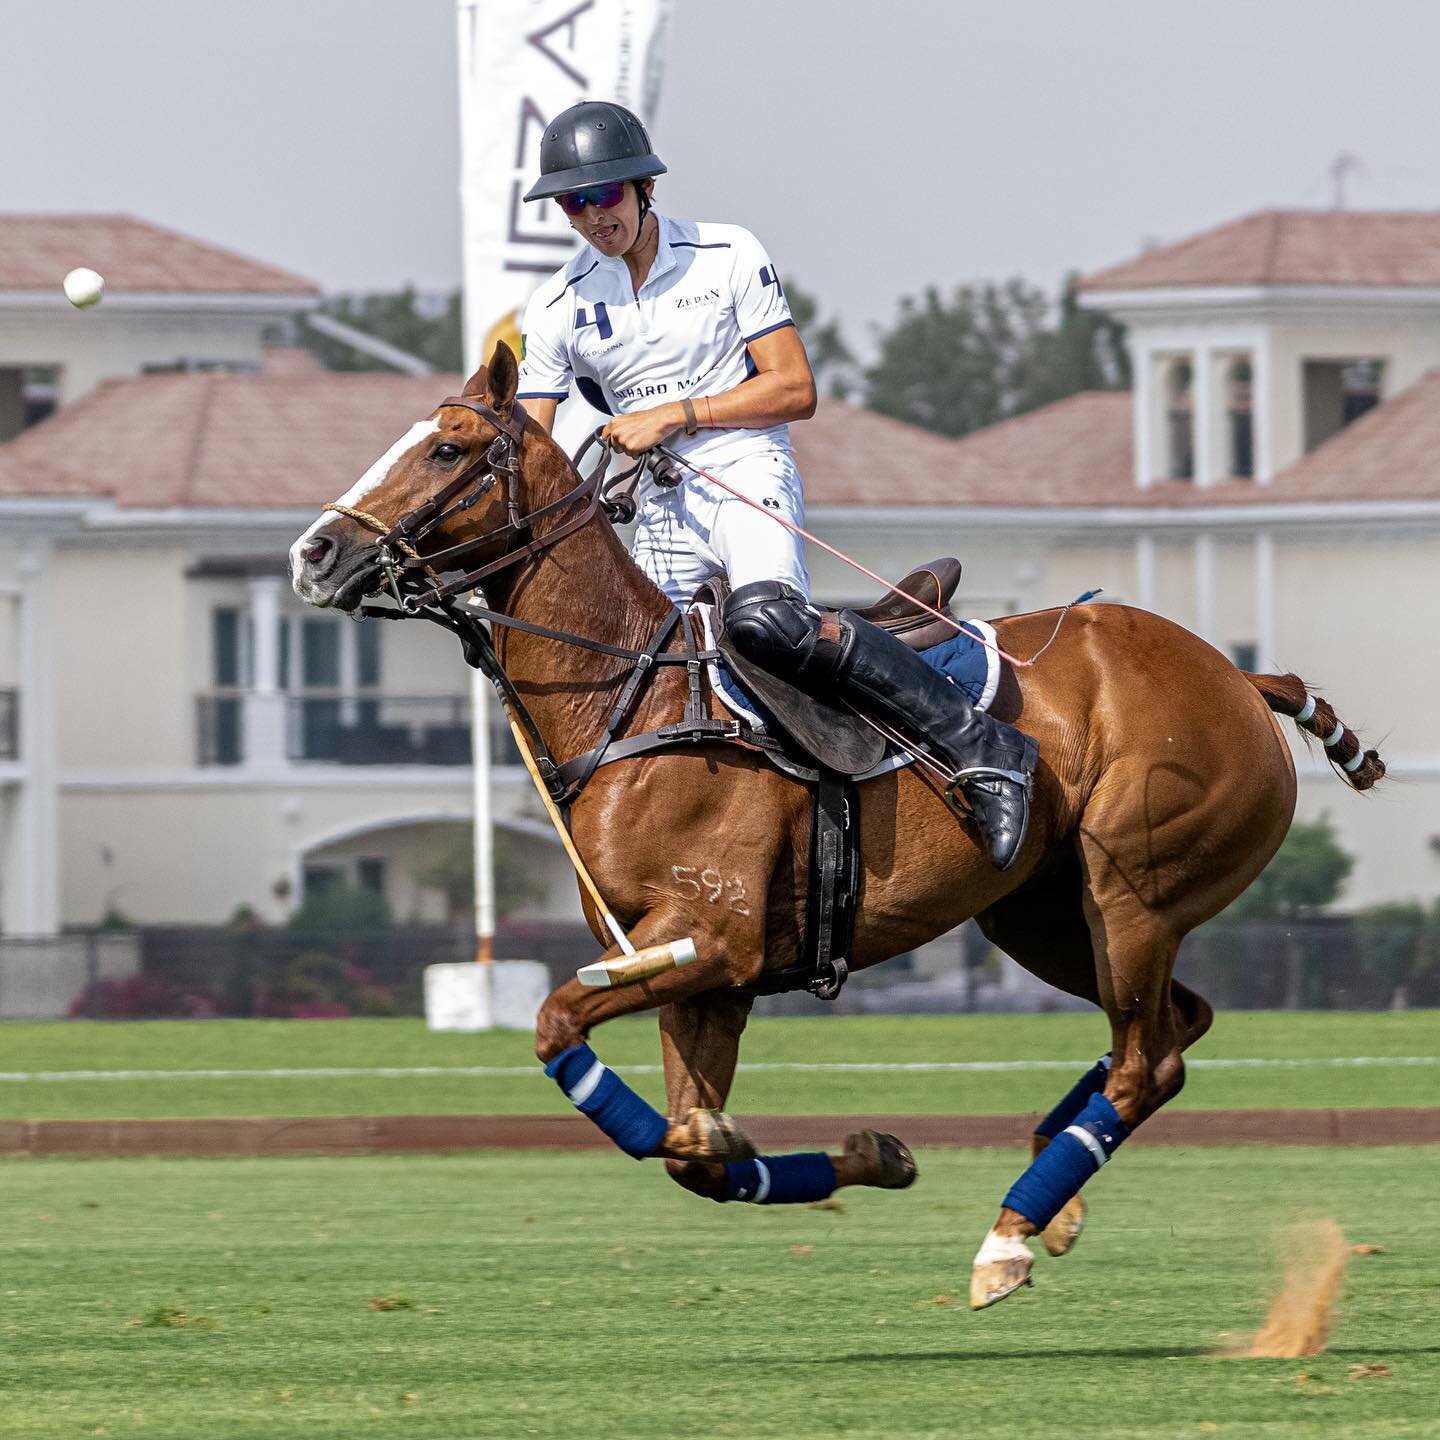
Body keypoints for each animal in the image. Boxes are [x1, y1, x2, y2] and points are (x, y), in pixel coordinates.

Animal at [286, 345, 1376, 1307]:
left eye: (447, 448)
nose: (313, 554)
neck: (634, 699)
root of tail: (1241, 676)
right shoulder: (704, 982)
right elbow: (692, 1153)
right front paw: (865, 1152)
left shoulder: (709, 941)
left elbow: (559, 1025)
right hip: (1041, 915)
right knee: (1171, 1034)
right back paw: (1049, 1203)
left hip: (1133, 893)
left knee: (1147, 1060)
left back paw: (1007, 1239)